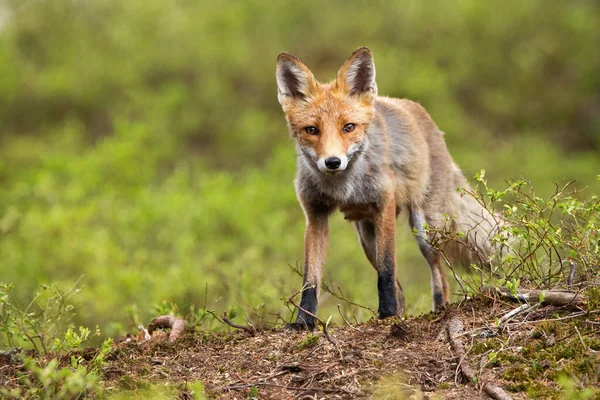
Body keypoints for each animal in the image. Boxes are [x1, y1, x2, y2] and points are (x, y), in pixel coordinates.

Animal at [278, 47, 502, 330]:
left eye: (348, 127)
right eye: (312, 130)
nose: (332, 162)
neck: (343, 188)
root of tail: (421, 114)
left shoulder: (384, 205)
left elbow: (387, 270)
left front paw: (387, 314)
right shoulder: (315, 216)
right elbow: (310, 278)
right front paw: (304, 321)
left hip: (425, 230)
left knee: (439, 276)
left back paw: (438, 311)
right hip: (366, 237)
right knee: (403, 286)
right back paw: (402, 309)